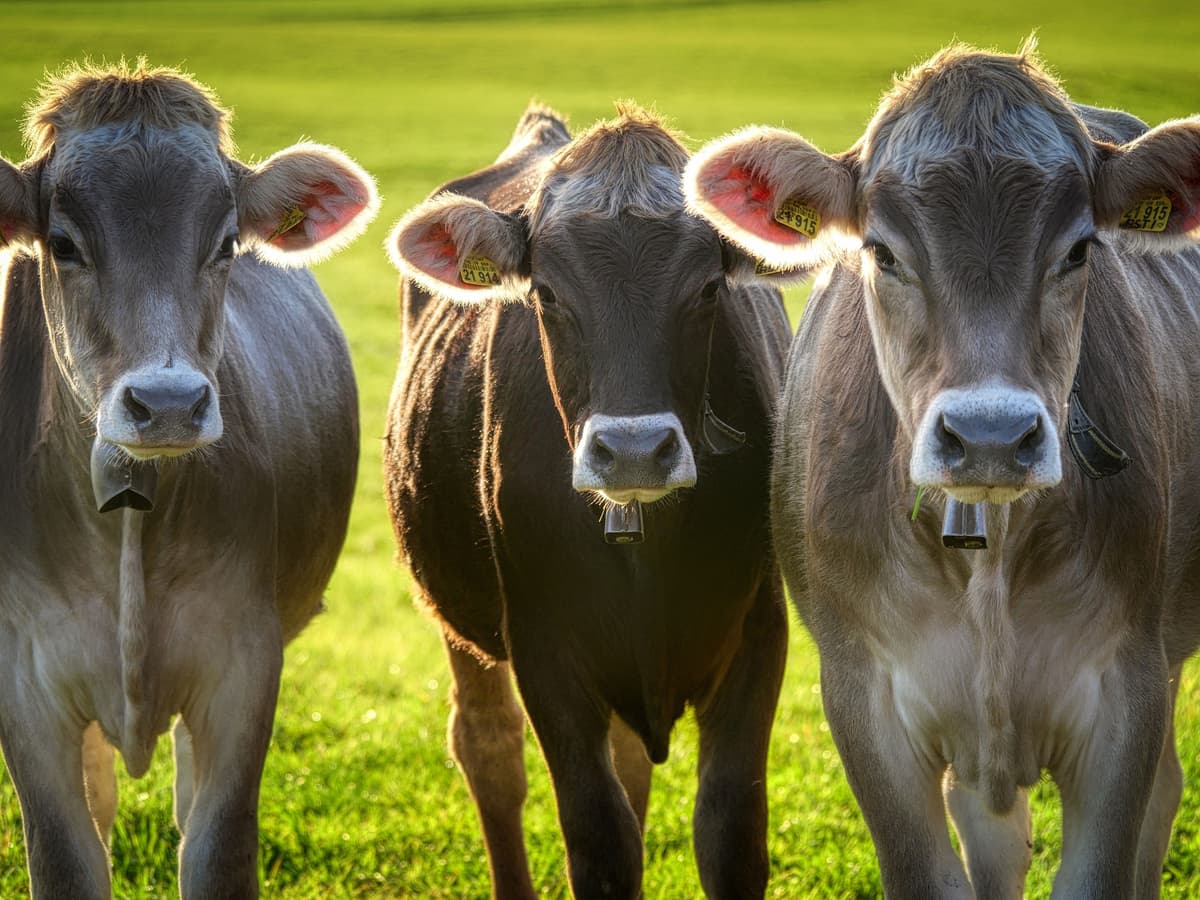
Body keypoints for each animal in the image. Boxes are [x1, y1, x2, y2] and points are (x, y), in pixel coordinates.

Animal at [0, 62, 376, 898]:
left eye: (227, 242)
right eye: (63, 244)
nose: (167, 402)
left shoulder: (243, 661)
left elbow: (216, 849)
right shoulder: (21, 678)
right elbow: (67, 856)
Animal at [384, 103, 791, 899]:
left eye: (707, 289)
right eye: (546, 293)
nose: (633, 449)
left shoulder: (760, 632)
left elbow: (730, 836)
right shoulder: (544, 650)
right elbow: (600, 844)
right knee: (489, 752)